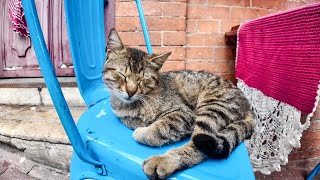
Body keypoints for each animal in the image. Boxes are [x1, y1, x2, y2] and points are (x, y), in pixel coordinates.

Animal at [102, 28, 255, 179]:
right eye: (122, 75)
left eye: (143, 80)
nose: (131, 92)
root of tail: (247, 104)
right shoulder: (122, 114)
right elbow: (128, 120)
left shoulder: (184, 115)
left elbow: (160, 128)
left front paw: (143, 131)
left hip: (212, 107)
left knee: (200, 144)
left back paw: (164, 161)